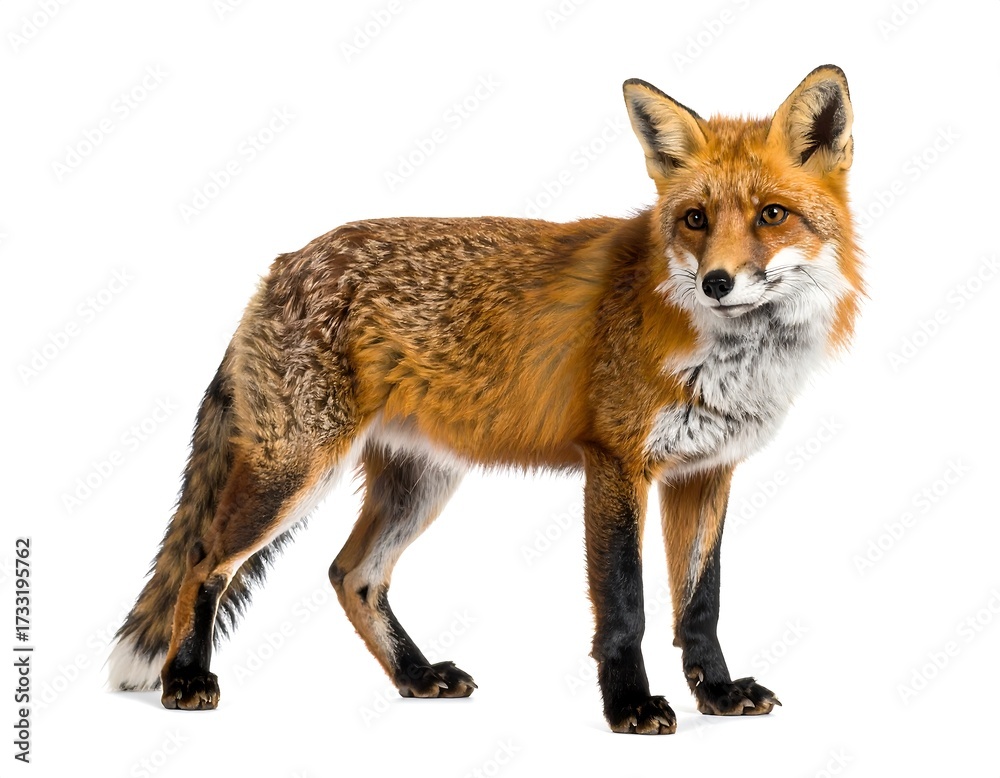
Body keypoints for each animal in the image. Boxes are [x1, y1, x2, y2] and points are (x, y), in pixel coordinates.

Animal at [109, 65, 862, 734]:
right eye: (695, 220)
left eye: (772, 215)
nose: (716, 283)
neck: (728, 359)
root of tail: (281, 266)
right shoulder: (615, 462)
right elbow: (626, 604)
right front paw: (629, 707)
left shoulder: (706, 471)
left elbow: (700, 604)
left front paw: (719, 694)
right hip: (295, 470)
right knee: (204, 561)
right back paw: (185, 678)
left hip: (420, 483)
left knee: (351, 574)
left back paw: (415, 676)